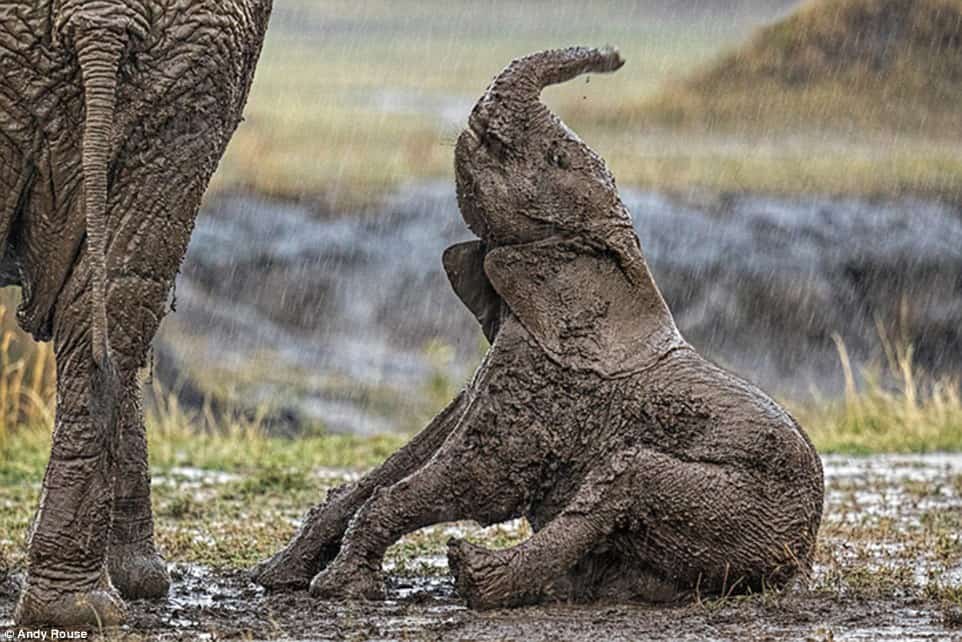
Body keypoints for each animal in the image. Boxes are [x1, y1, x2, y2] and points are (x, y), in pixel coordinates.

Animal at [251, 45, 820, 604]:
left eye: (555, 158)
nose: (614, 58)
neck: (619, 263)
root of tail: (800, 561)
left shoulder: (552, 389)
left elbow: (482, 477)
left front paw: (340, 588)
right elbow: (410, 456)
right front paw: (275, 576)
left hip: (735, 504)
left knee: (629, 477)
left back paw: (474, 575)